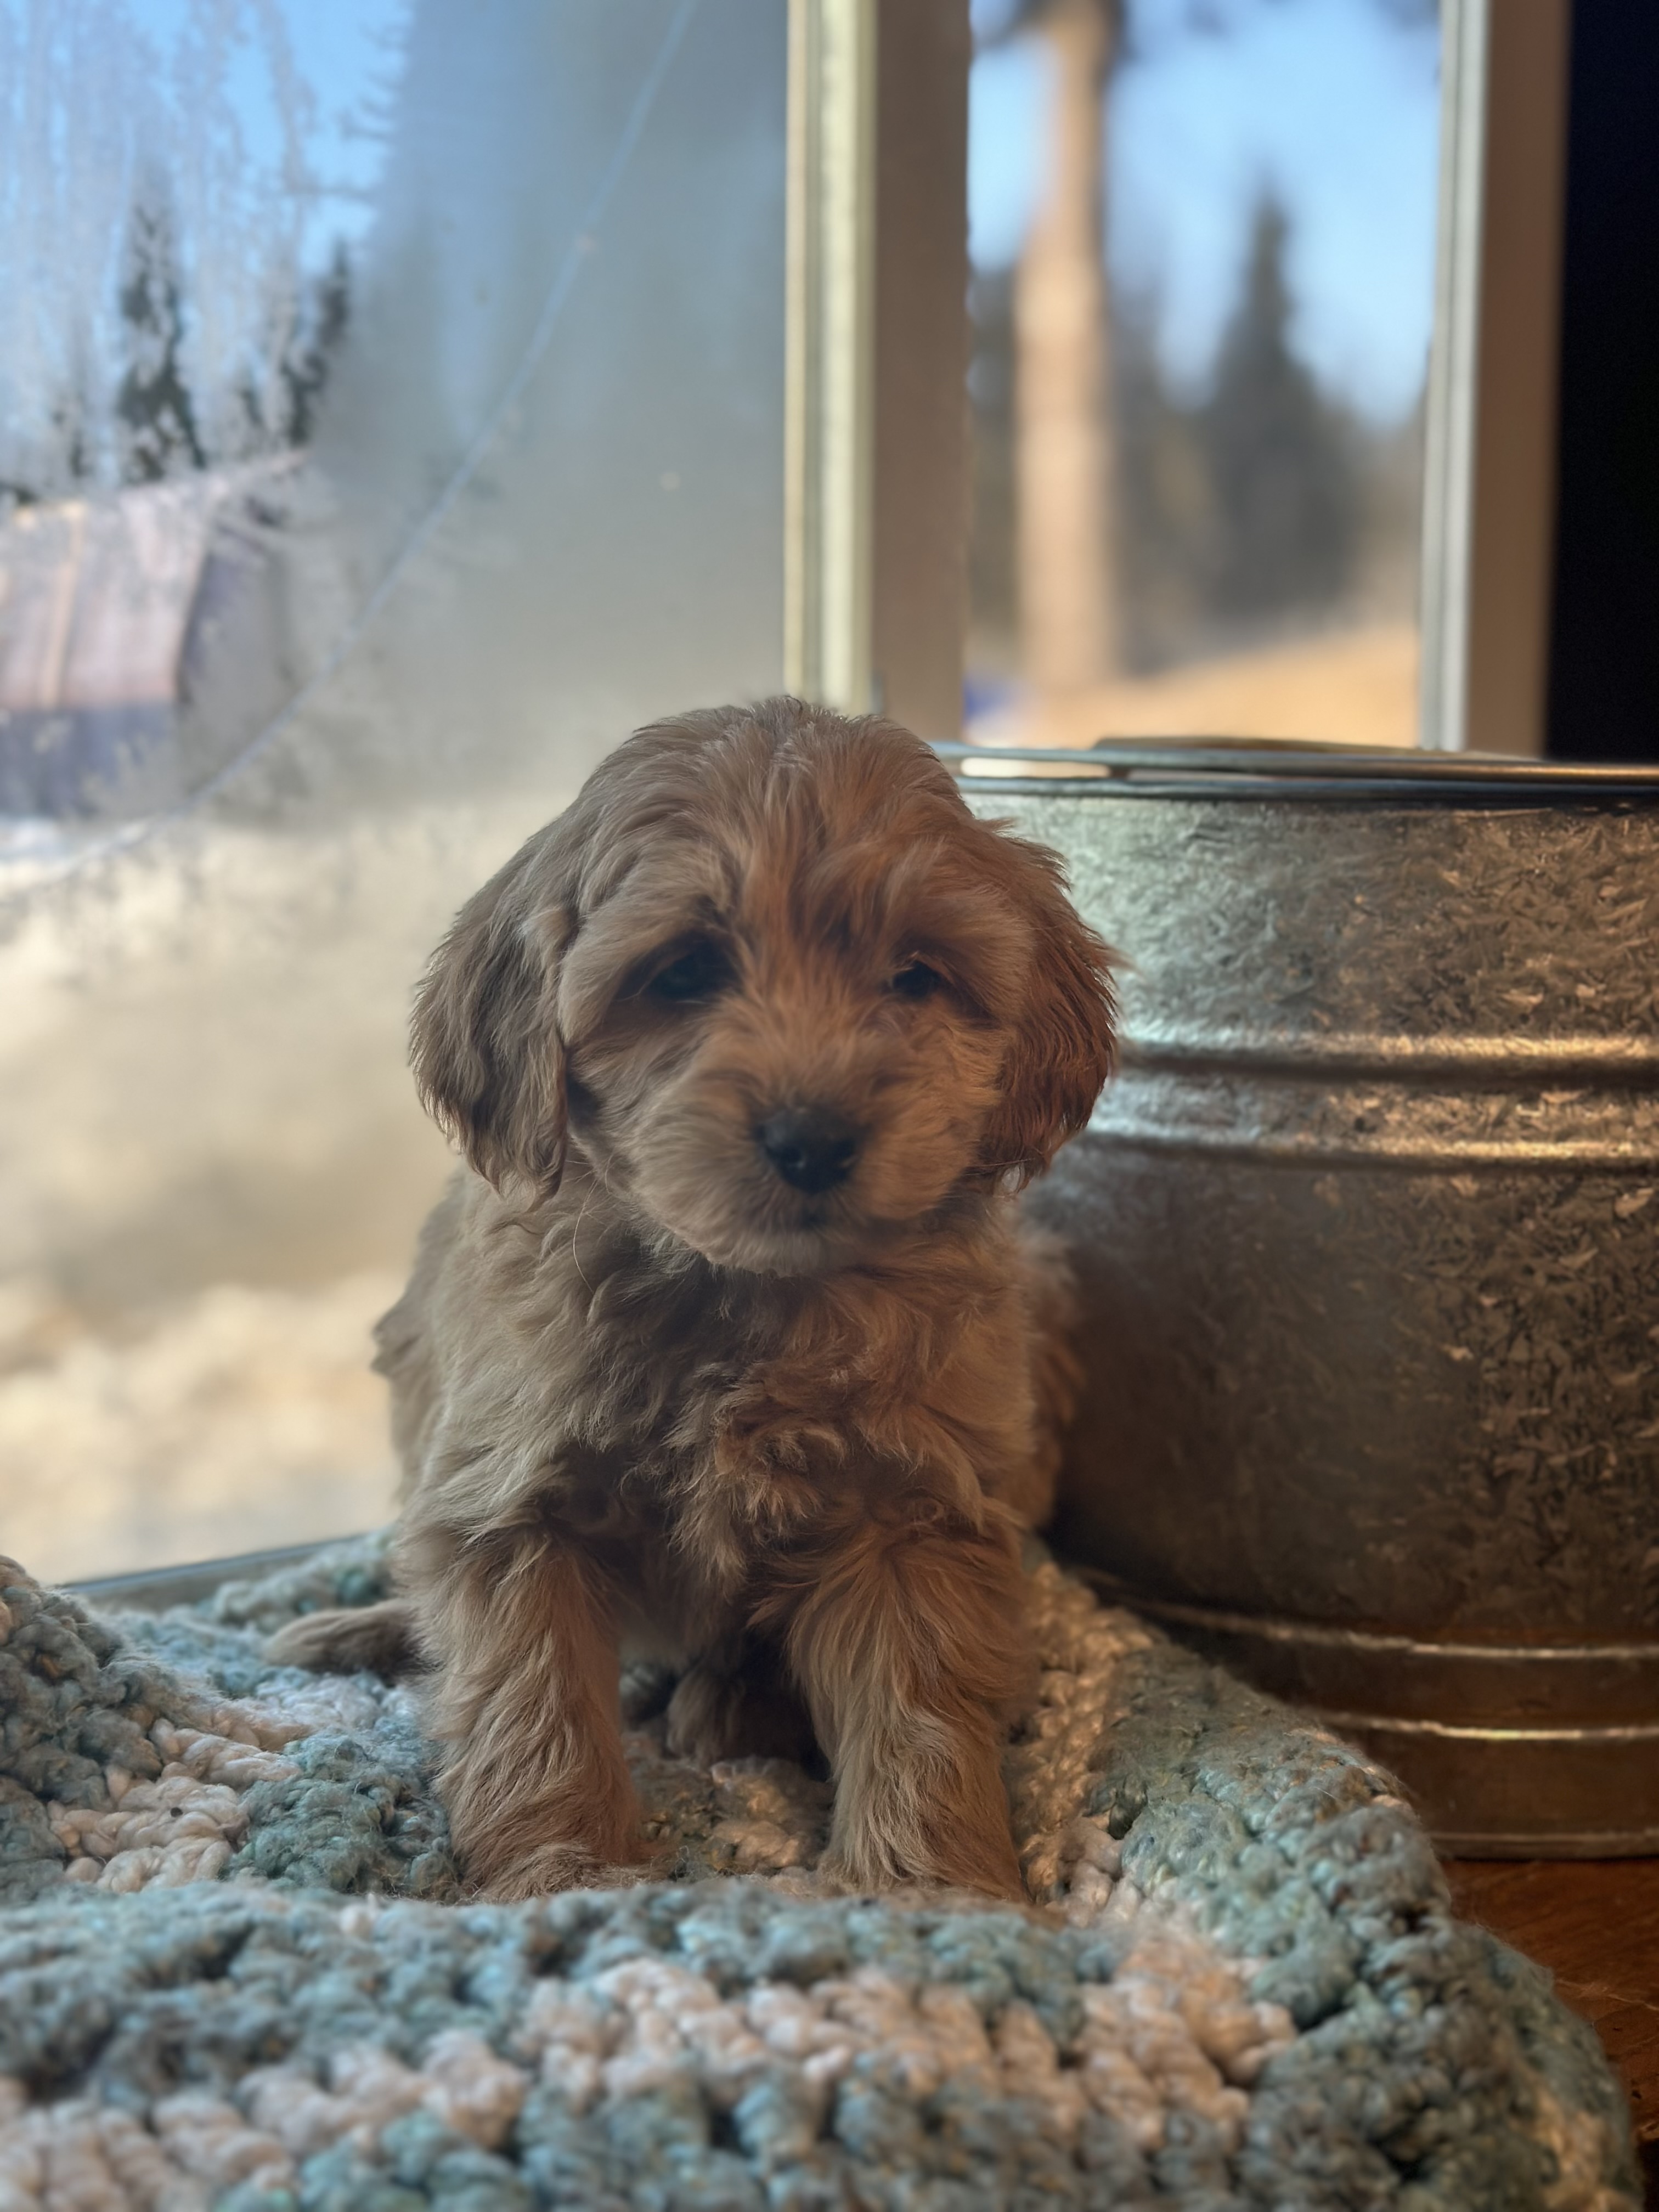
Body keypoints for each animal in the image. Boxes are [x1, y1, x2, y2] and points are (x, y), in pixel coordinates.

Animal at [270, 698, 1116, 1900]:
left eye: (915, 976)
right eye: (683, 974)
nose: (813, 1137)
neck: (740, 1295)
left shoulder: (912, 1502)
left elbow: (919, 1713)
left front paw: (934, 1888)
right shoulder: (510, 1501)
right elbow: (529, 1702)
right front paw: (564, 1870)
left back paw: (738, 1701)